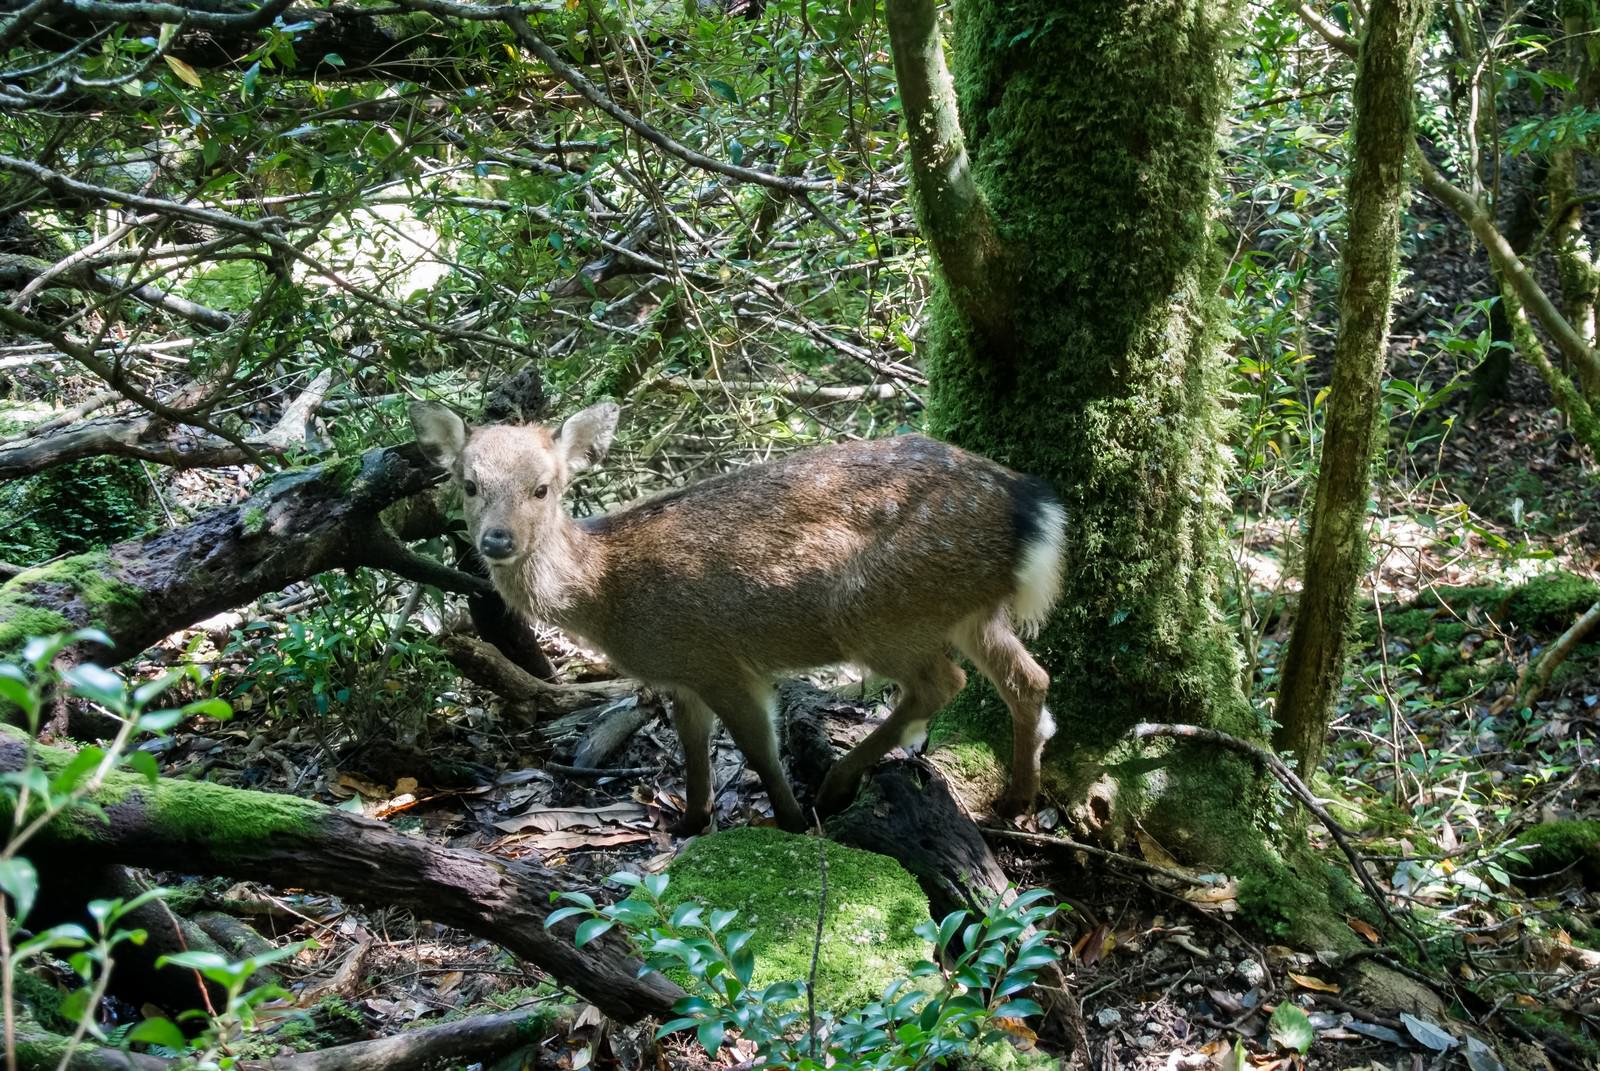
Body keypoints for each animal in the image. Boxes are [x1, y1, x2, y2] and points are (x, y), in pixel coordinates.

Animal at [412, 400, 1062, 832]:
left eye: (543, 488)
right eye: (468, 484)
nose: (496, 540)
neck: (604, 592)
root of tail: (1035, 509)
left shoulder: (719, 659)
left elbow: (757, 748)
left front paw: (789, 818)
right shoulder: (681, 673)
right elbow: (694, 750)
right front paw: (691, 821)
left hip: (878, 610)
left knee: (942, 682)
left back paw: (836, 784)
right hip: (968, 611)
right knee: (1030, 678)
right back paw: (1017, 801)